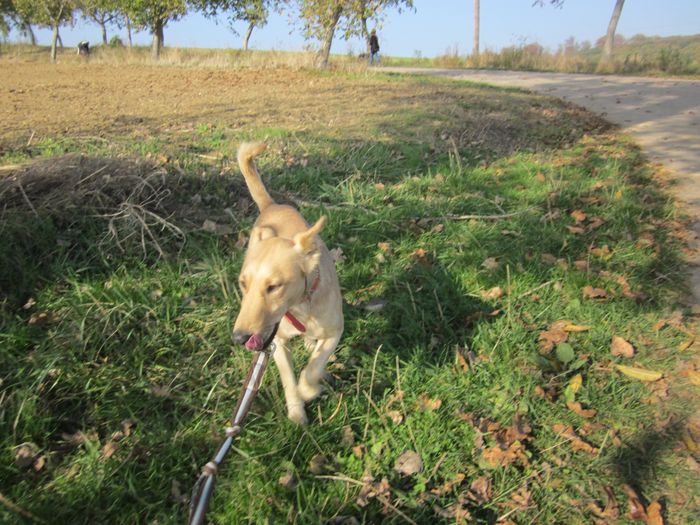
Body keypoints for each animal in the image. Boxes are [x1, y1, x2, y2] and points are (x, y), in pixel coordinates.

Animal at [235, 141, 344, 424]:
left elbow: (313, 367)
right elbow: (288, 380)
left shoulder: (334, 331)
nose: (239, 337)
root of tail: (271, 205)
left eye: (274, 286)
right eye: (243, 284)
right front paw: (297, 409)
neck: (301, 308)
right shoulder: (277, 344)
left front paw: (310, 389)